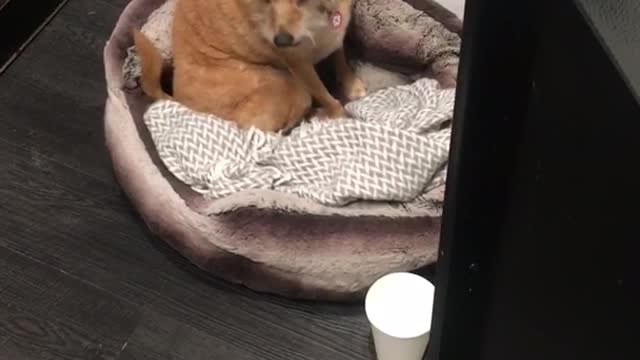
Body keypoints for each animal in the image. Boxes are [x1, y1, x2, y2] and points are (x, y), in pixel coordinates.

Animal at [134, 0, 364, 131]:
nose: (280, 41)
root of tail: (180, 101)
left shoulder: (335, 35)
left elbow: (340, 56)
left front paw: (352, 84)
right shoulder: (298, 63)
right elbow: (325, 95)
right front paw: (341, 118)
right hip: (287, 86)